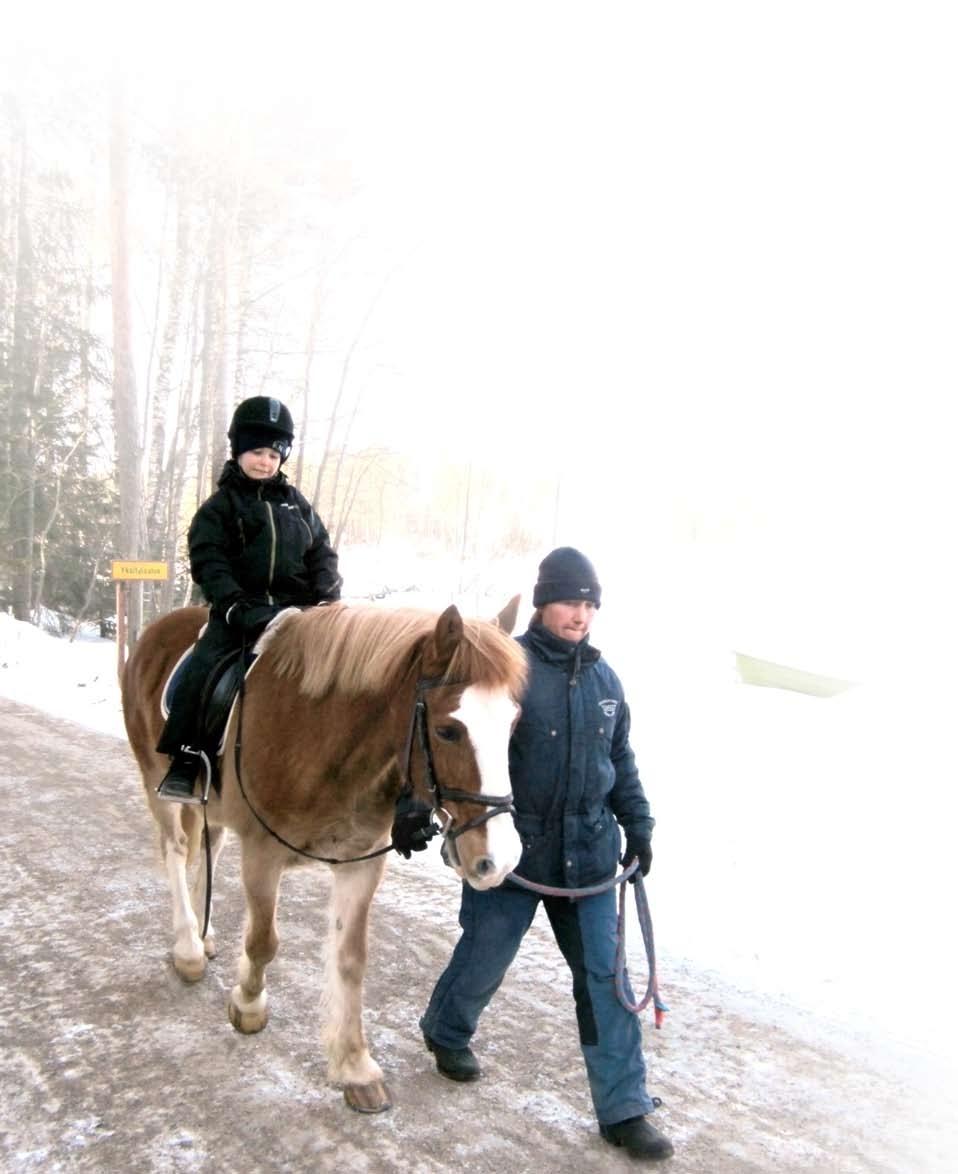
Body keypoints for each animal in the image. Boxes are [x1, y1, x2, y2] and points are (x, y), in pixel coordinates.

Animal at [120, 596, 528, 1108]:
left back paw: (205, 934)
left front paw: (353, 1064)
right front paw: (248, 1005)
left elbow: (352, 959)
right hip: (155, 780)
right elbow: (263, 941)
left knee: (206, 849)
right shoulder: (263, 854)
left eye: (512, 725)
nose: (500, 859)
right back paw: (189, 948)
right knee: (174, 851)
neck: (324, 738)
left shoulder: (362, 865)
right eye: (448, 730)